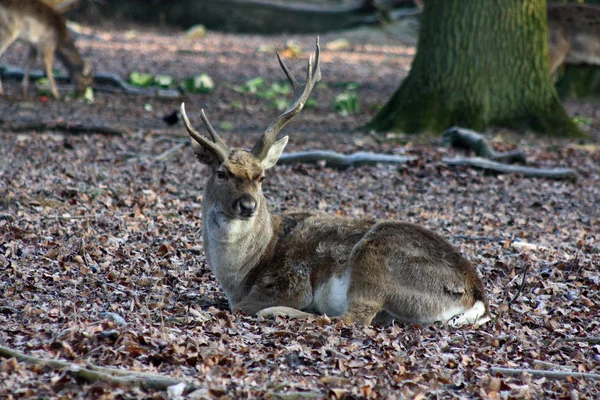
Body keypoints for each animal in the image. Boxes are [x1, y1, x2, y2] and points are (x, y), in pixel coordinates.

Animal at [183, 38, 492, 328]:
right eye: (221, 173)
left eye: (261, 177)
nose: (248, 205)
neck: (242, 273)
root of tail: (475, 296)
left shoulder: (288, 281)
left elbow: (241, 306)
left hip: (375, 260)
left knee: (352, 317)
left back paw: (281, 312)